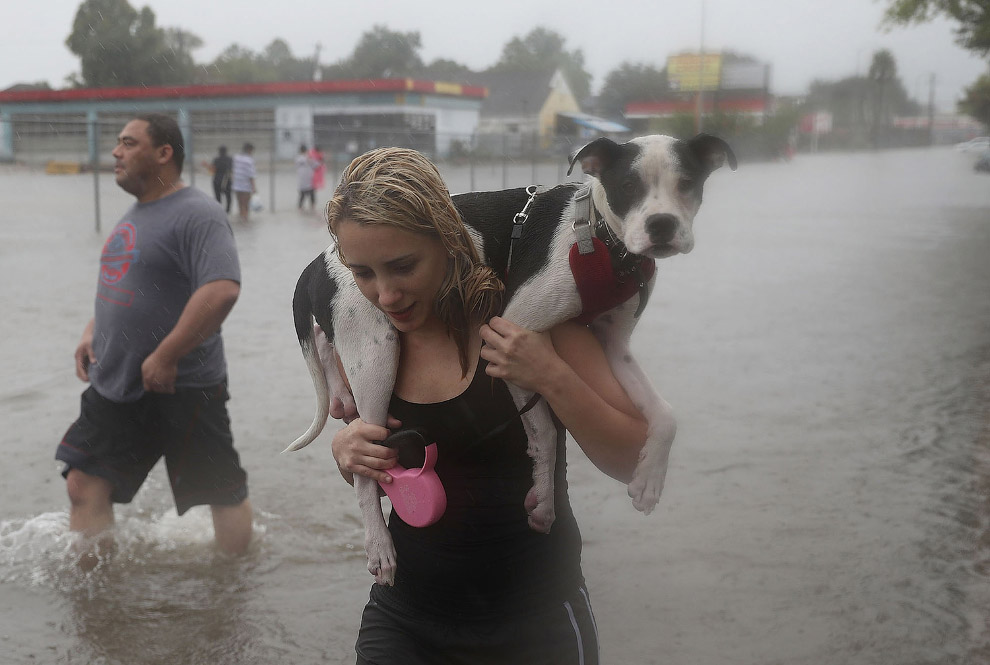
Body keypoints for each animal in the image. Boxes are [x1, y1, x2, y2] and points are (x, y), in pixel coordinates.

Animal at [286, 132, 736, 584]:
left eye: (688, 183)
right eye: (628, 186)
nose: (662, 225)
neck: (599, 240)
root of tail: (321, 260)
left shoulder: (615, 346)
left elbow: (666, 413)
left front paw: (648, 480)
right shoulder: (511, 332)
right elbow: (545, 432)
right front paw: (544, 499)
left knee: (325, 341)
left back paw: (340, 392)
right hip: (377, 354)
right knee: (366, 468)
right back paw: (379, 545)